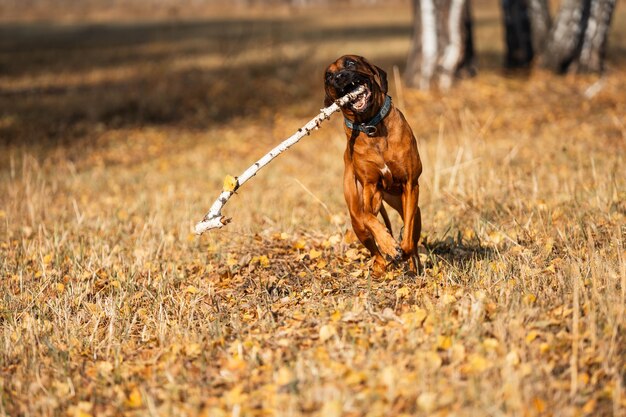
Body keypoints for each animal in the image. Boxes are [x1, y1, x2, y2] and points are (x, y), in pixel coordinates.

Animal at [324, 54, 422, 272]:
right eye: (328, 76)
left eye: (350, 63)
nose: (339, 77)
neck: (371, 125)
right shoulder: (371, 188)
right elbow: (368, 217)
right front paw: (389, 244)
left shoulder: (411, 184)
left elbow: (408, 231)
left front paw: (403, 248)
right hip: (357, 214)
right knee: (374, 248)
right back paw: (381, 266)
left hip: (410, 205)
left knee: (413, 231)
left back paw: (413, 264)